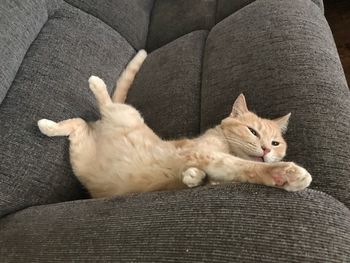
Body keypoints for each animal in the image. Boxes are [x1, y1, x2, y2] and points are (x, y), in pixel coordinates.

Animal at [37, 50, 312, 198]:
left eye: (275, 143)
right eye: (253, 131)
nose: (265, 150)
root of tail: (103, 126)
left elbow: (224, 174)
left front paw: (193, 177)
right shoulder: (202, 152)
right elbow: (241, 166)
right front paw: (285, 173)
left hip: (80, 153)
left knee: (79, 124)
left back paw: (47, 125)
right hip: (127, 114)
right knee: (105, 103)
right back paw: (96, 84)